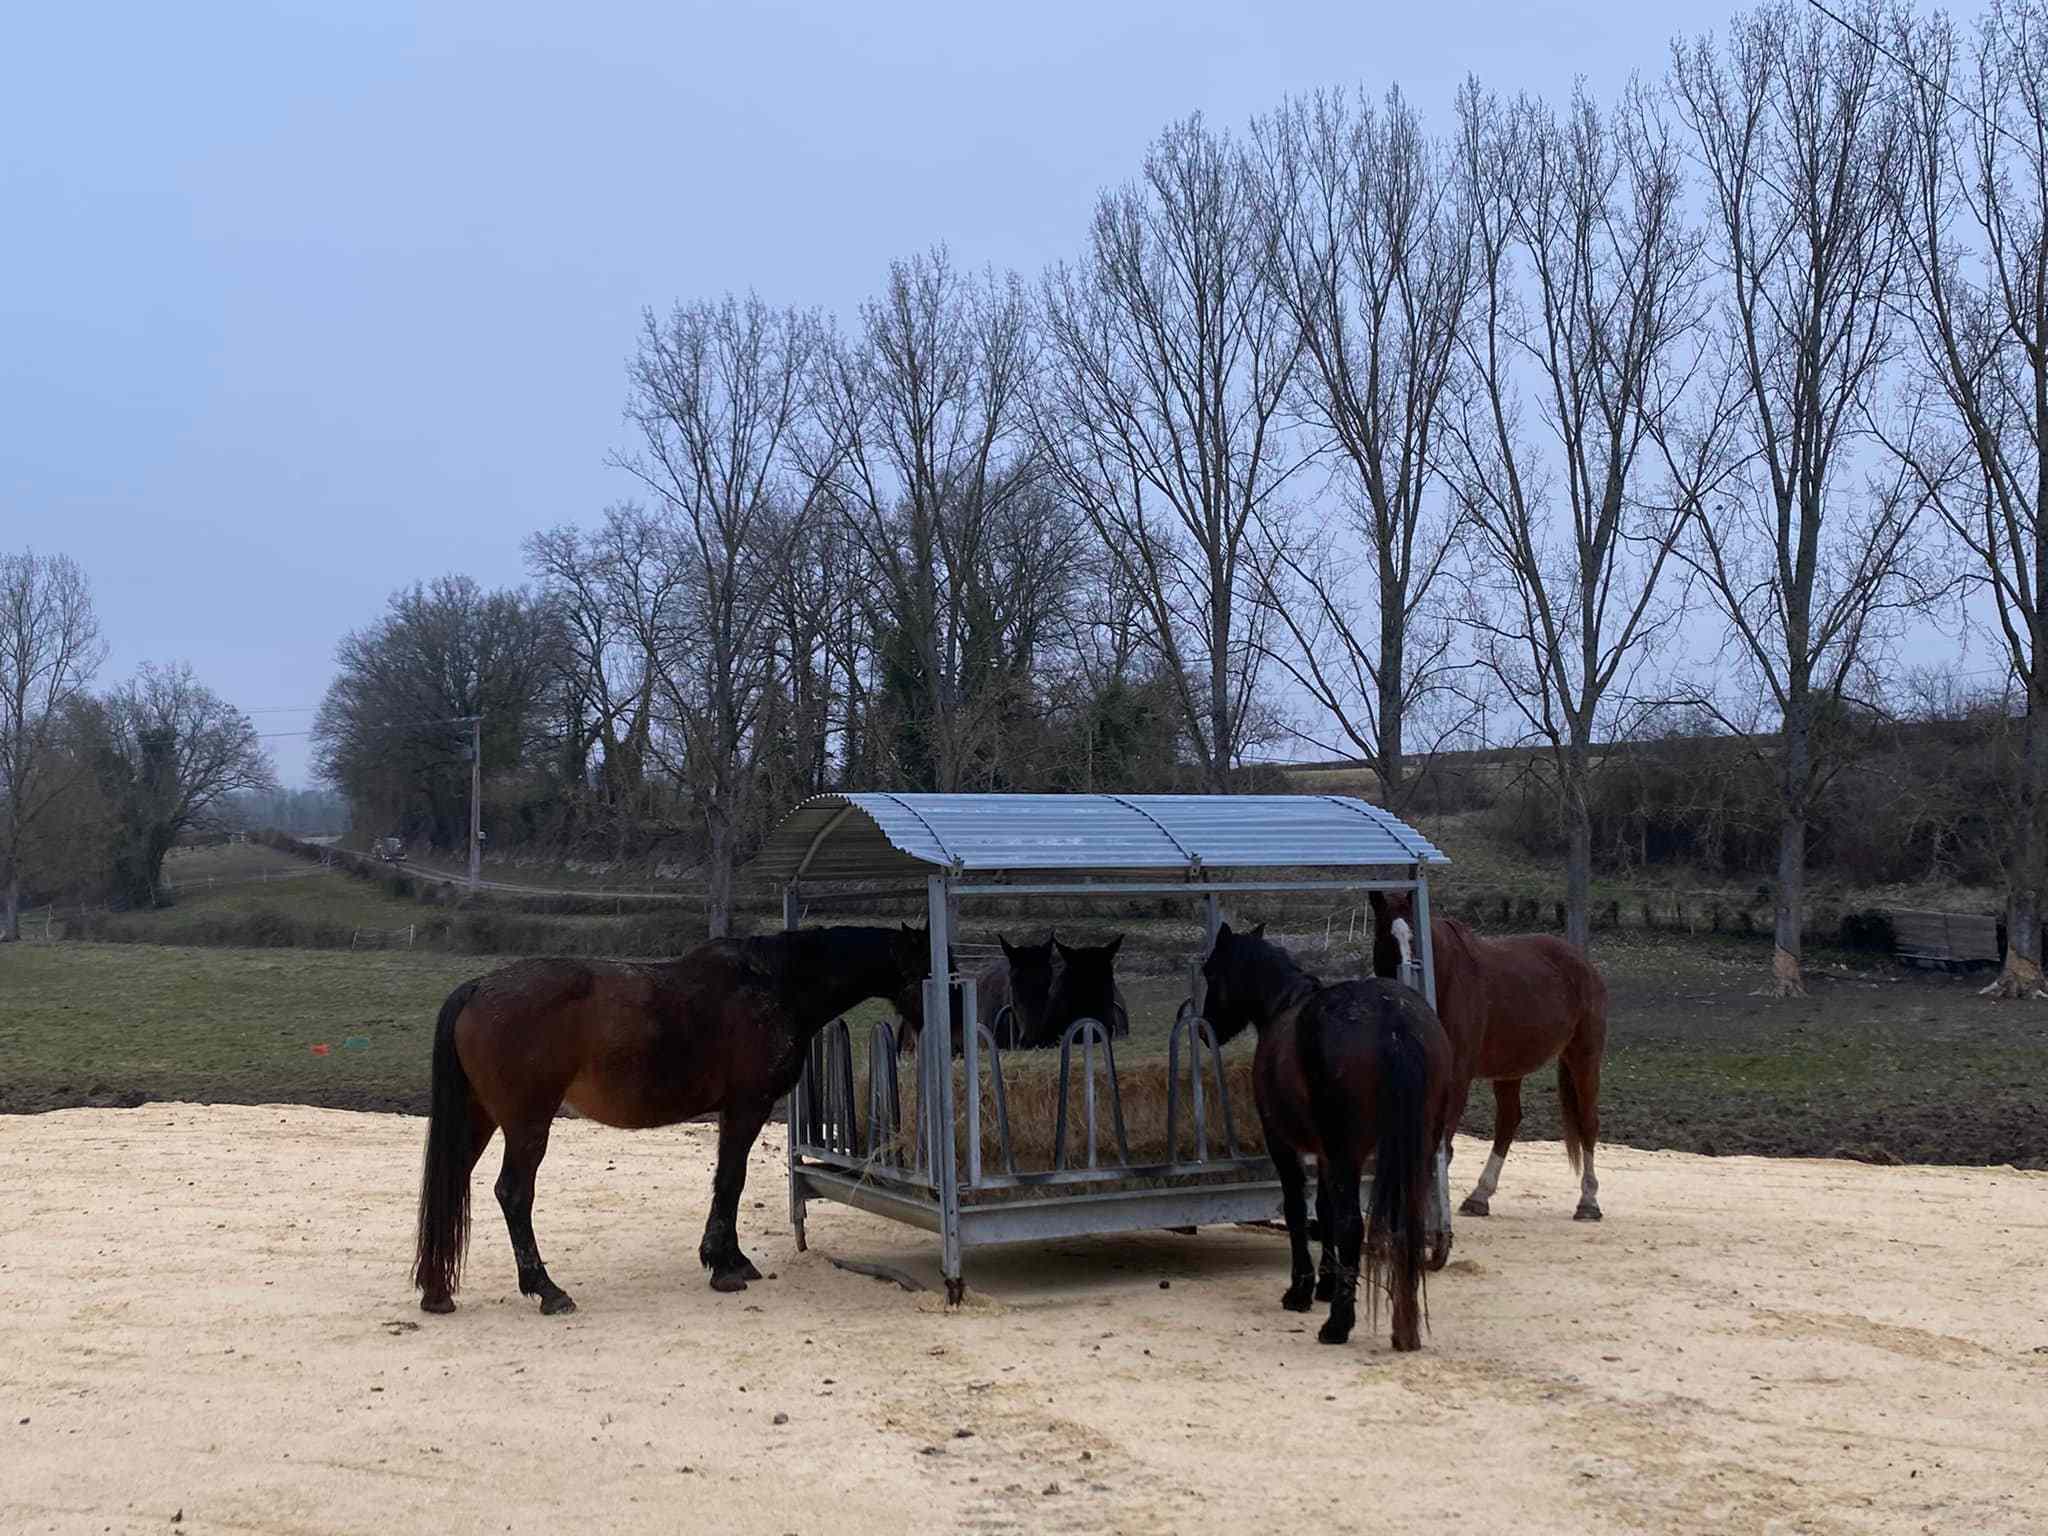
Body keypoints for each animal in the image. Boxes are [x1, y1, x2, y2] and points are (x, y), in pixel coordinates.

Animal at [413, 923, 934, 1316]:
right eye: (932, 971)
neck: (775, 983)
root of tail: (479, 988)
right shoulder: (748, 1106)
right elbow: (732, 1180)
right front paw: (725, 1266)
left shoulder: (732, 1110)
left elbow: (726, 1180)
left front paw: (727, 1258)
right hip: (528, 1124)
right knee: (514, 1195)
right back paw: (547, 1289)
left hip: (480, 1119)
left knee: (453, 1181)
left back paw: (438, 1291)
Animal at [1191, 921, 1454, 1351]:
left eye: (1211, 972)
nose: (1206, 1025)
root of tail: (1393, 1022)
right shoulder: (1329, 1155)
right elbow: (1325, 1210)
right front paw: (1327, 1285)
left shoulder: (1285, 1146)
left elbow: (1300, 1210)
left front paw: (1301, 1290)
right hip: (1414, 1150)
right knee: (1404, 1223)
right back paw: (1404, 1329)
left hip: (1349, 1151)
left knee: (1352, 1226)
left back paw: (1338, 1326)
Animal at [1368, 889, 1609, 1224]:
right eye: (1383, 935)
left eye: (1414, 938)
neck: (1443, 979)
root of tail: (1584, 964)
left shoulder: (1457, 1076)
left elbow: (1442, 1144)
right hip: (1511, 1068)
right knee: (1508, 1120)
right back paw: (1479, 1197)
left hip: (1583, 1057)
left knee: (1587, 1122)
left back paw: (1588, 1202)